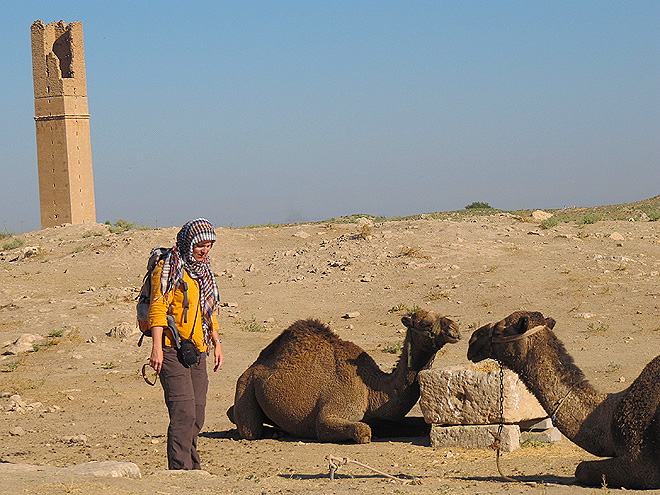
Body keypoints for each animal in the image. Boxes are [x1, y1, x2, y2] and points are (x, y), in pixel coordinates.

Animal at [227, 312, 458, 444]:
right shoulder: (333, 412)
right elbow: (361, 431)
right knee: (250, 429)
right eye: (426, 323)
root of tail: (253, 366)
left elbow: (418, 424)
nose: (454, 329)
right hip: (245, 384)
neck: (371, 389)